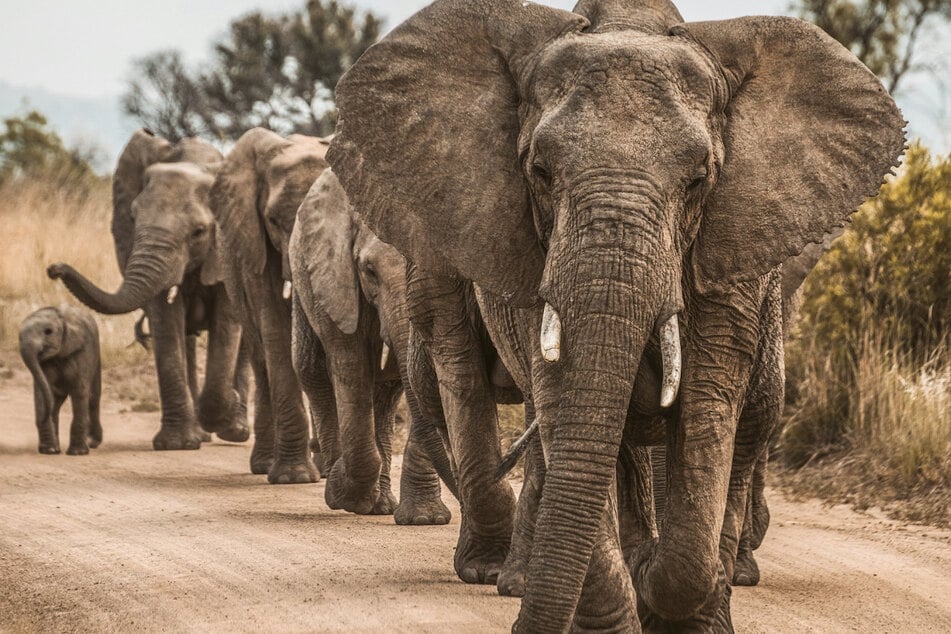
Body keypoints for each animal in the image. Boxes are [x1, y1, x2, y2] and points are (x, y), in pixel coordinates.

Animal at [19, 305, 102, 455]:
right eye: (19, 336)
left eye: (48, 332)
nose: (41, 418)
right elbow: (42, 391)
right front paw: (49, 450)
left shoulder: (83, 351)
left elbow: (79, 390)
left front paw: (77, 453)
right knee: (56, 403)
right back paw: (56, 448)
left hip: (97, 358)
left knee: (93, 398)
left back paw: (92, 443)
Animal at [48, 130, 250, 450]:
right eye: (132, 219)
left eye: (199, 232)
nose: (54, 268)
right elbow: (165, 322)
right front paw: (177, 445)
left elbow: (228, 323)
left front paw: (226, 407)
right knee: (186, 338)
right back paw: (202, 432)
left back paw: (236, 430)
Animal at [210, 128, 330, 483]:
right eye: (274, 221)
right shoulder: (255, 244)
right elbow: (275, 327)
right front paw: (294, 478)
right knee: (262, 358)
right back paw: (266, 465)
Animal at [289, 168, 456, 521]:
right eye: (369, 271)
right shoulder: (336, 277)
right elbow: (350, 365)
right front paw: (341, 492)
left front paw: (425, 520)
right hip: (303, 279)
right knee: (312, 371)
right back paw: (340, 483)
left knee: (387, 392)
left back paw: (380, 506)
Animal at [327, 0, 904, 631]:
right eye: (539, 172)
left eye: (699, 180)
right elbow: (565, 405)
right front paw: (630, 596)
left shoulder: (732, 253)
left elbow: (708, 410)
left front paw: (658, 585)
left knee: (748, 424)